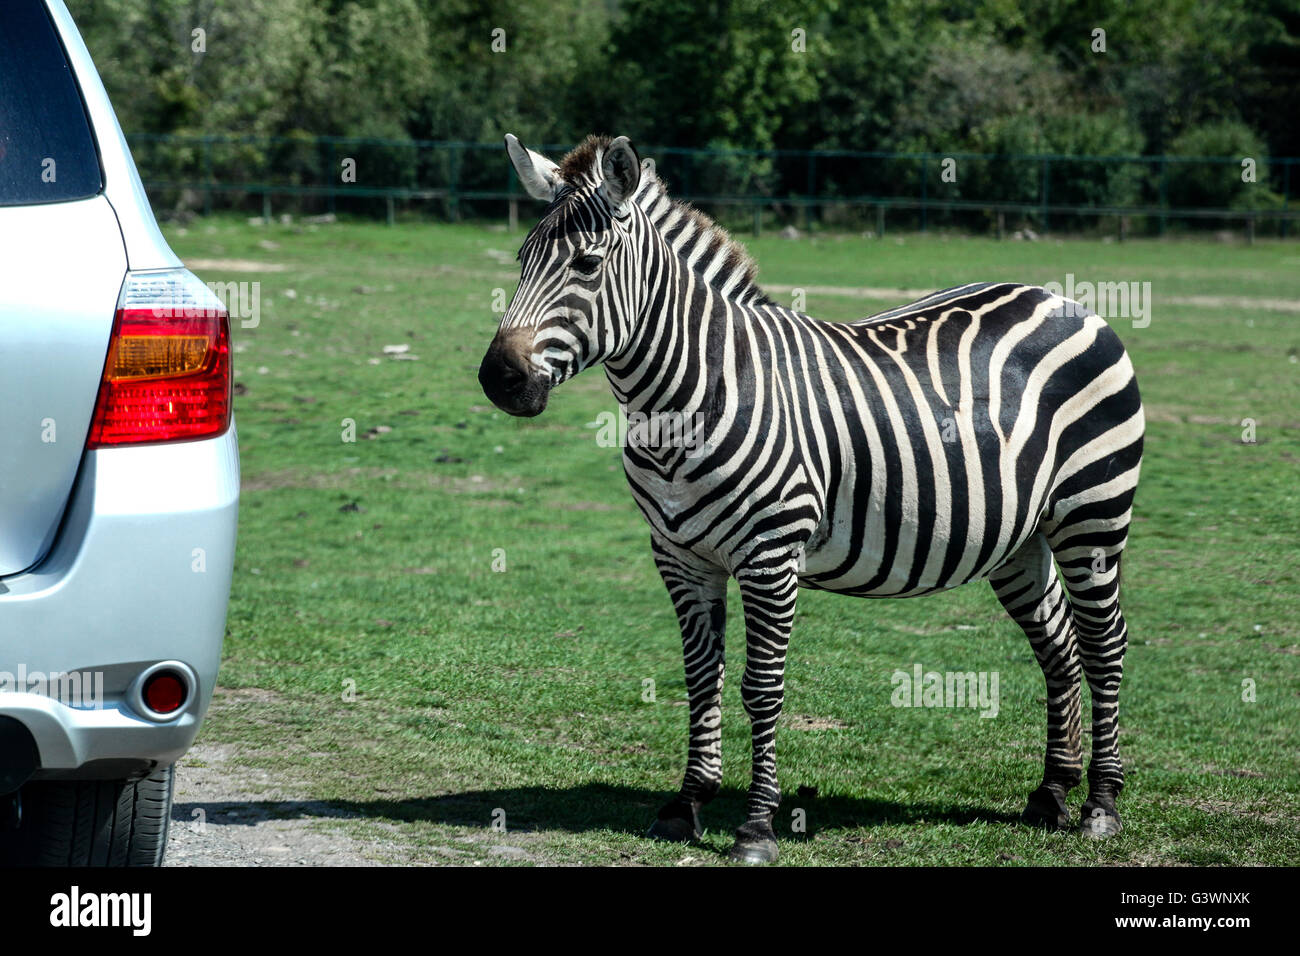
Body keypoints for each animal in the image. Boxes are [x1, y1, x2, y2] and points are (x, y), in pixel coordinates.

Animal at [478, 132, 1138, 858]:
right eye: (521, 260)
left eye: (588, 264)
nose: (498, 379)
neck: (690, 393)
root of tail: (1062, 299)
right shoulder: (680, 556)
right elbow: (700, 678)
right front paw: (686, 805)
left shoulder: (770, 558)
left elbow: (761, 687)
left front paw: (756, 827)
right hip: (1020, 538)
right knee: (1059, 646)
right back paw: (1051, 793)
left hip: (1093, 516)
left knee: (1104, 643)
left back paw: (1101, 804)